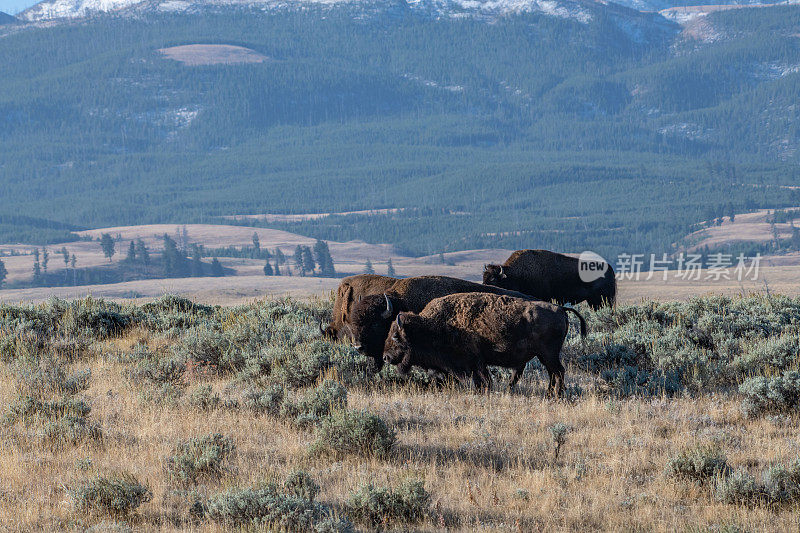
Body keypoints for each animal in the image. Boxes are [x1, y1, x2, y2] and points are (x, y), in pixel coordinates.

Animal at [384, 290, 584, 394]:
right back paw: (550, 394)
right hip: (544, 356)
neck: (435, 324)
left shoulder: (476, 362)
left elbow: (484, 381)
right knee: (553, 373)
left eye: (396, 336)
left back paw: (557, 395)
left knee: (558, 371)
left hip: (549, 354)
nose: (386, 357)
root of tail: (561, 309)